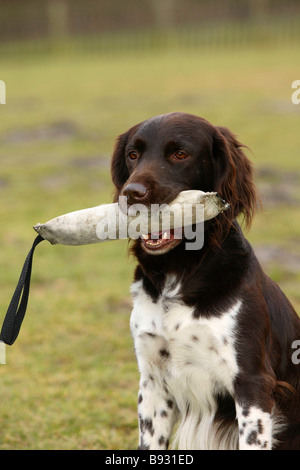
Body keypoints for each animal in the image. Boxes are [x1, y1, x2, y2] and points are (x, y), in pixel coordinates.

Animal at [110, 112, 300, 450]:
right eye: (133, 155)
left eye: (180, 154)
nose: (131, 193)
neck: (178, 275)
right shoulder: (153, 383)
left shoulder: (251, 382)